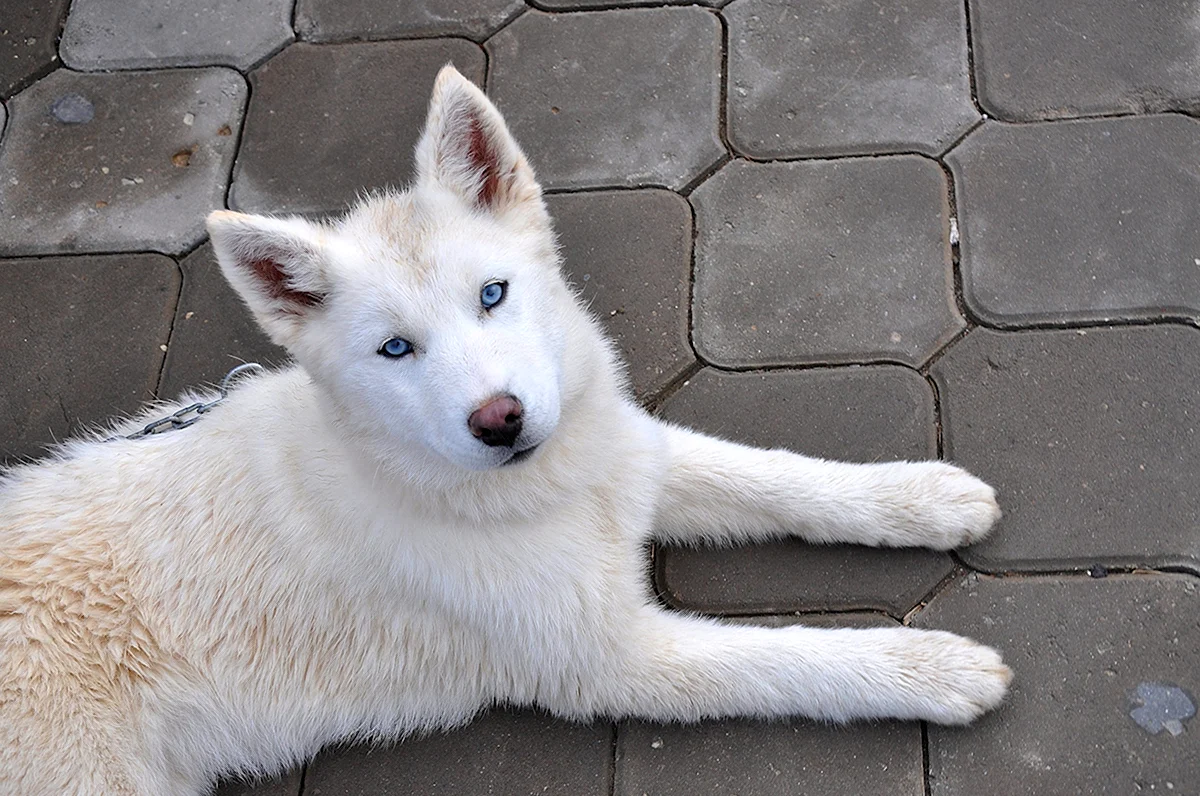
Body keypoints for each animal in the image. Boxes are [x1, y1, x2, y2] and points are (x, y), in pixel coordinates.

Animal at [0, 65, 1012, 792]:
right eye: (395, 349)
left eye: (493, 294)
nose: (500, 420)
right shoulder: (613, 661)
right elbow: (795, 660)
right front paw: (927, 668)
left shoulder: (624, 455)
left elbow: (779, 475)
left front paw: (919, 497)